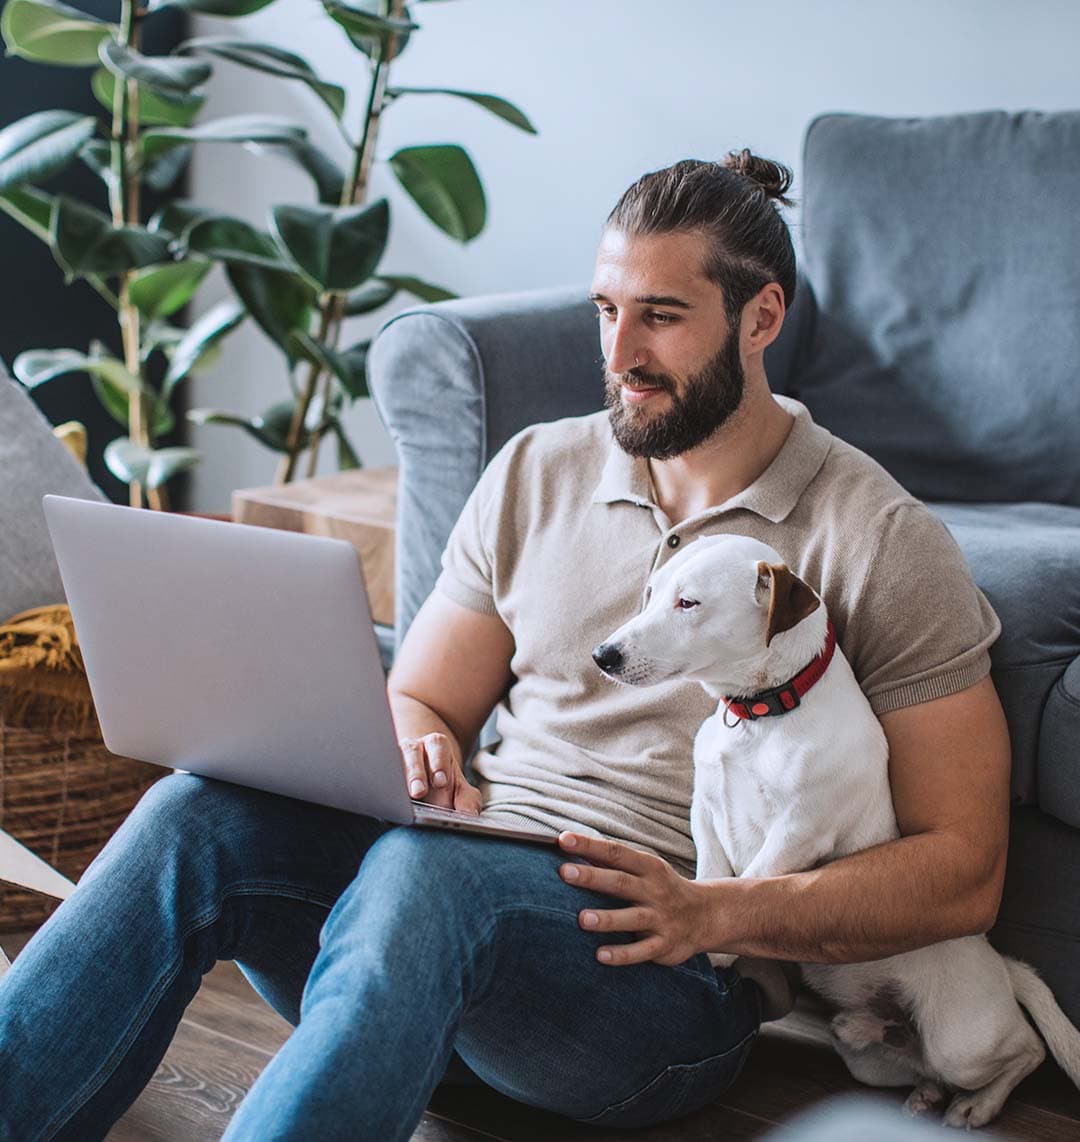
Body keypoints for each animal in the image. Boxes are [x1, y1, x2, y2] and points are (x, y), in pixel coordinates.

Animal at [589, 536, 1077, 1132]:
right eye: (653, 592)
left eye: (689, 603)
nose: (603, 655)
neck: (762, 713)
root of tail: (1001, 966)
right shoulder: (705, 808)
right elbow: (713, 873)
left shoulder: (799, 831)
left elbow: (745, 883)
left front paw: (712, 944)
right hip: (869, 1061)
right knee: (907, 1060)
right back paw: (919, 1086)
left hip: (962, 1042)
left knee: (1025, 1050)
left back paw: (978, 1104)